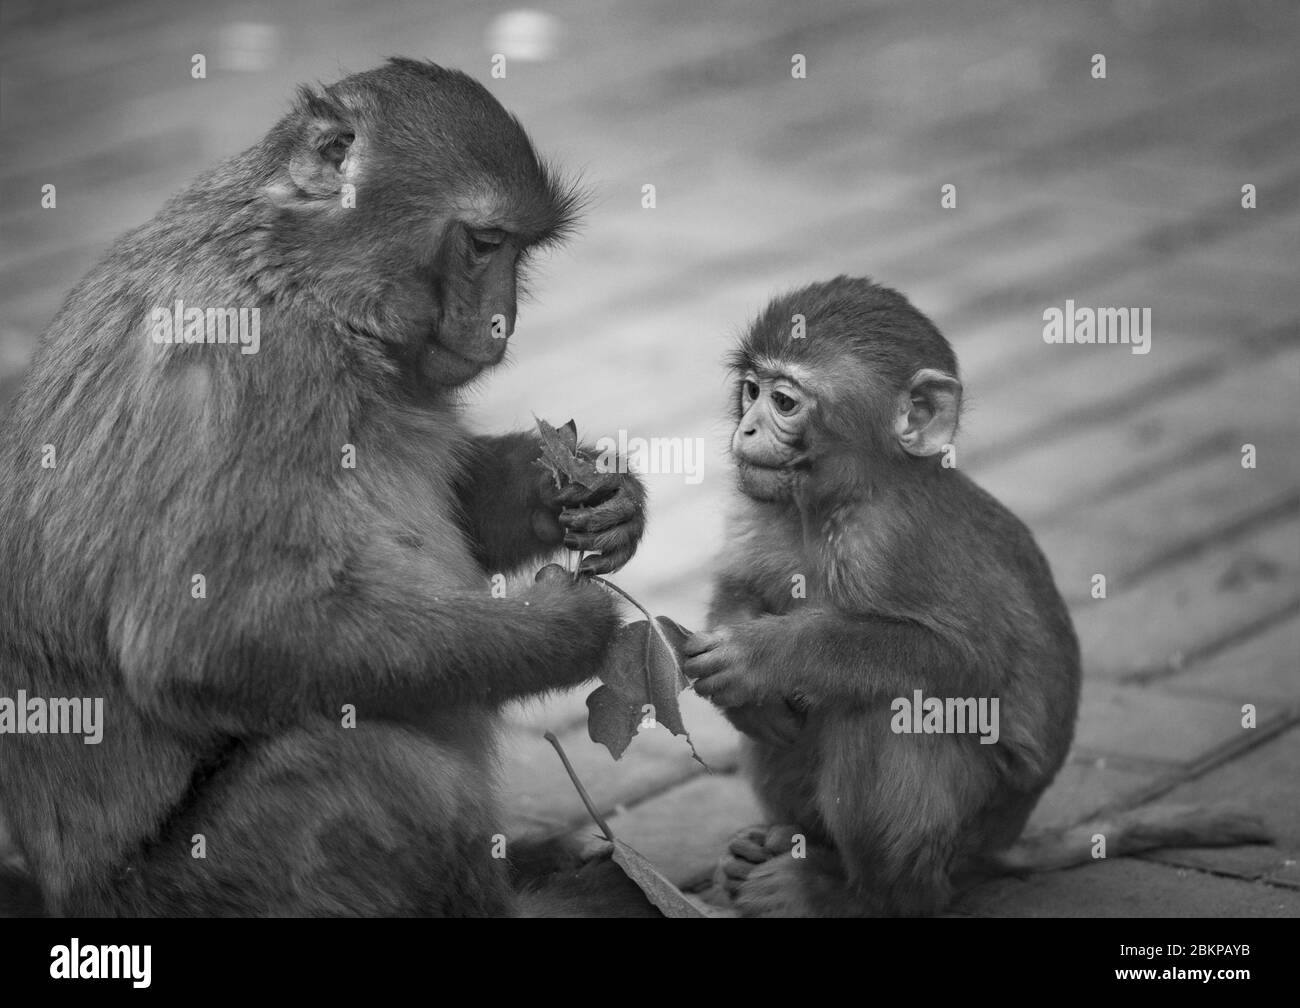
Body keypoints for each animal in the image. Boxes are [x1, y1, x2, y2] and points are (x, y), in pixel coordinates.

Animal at [0, 59, 650, 917]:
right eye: (484, 244)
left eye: (518, 250)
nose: (502, 321)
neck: (297, 279)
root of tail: (66, 898)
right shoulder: (261, 371)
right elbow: (201, 636)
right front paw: (565, 629)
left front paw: (583, 494)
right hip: (185, 893)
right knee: (357, 762)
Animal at [685, 276, 1270, 917]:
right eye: (751, 390)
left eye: (785, 402)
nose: (746, 430)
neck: (834, 505)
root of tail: (1000, 845)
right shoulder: (763, 506)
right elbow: (741, 589)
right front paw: (746, 694)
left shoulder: (893, 543)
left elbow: (961, 661)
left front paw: (764, 657)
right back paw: (791, 845)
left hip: (967, 825)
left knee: (882, 706)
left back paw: (853, 893)